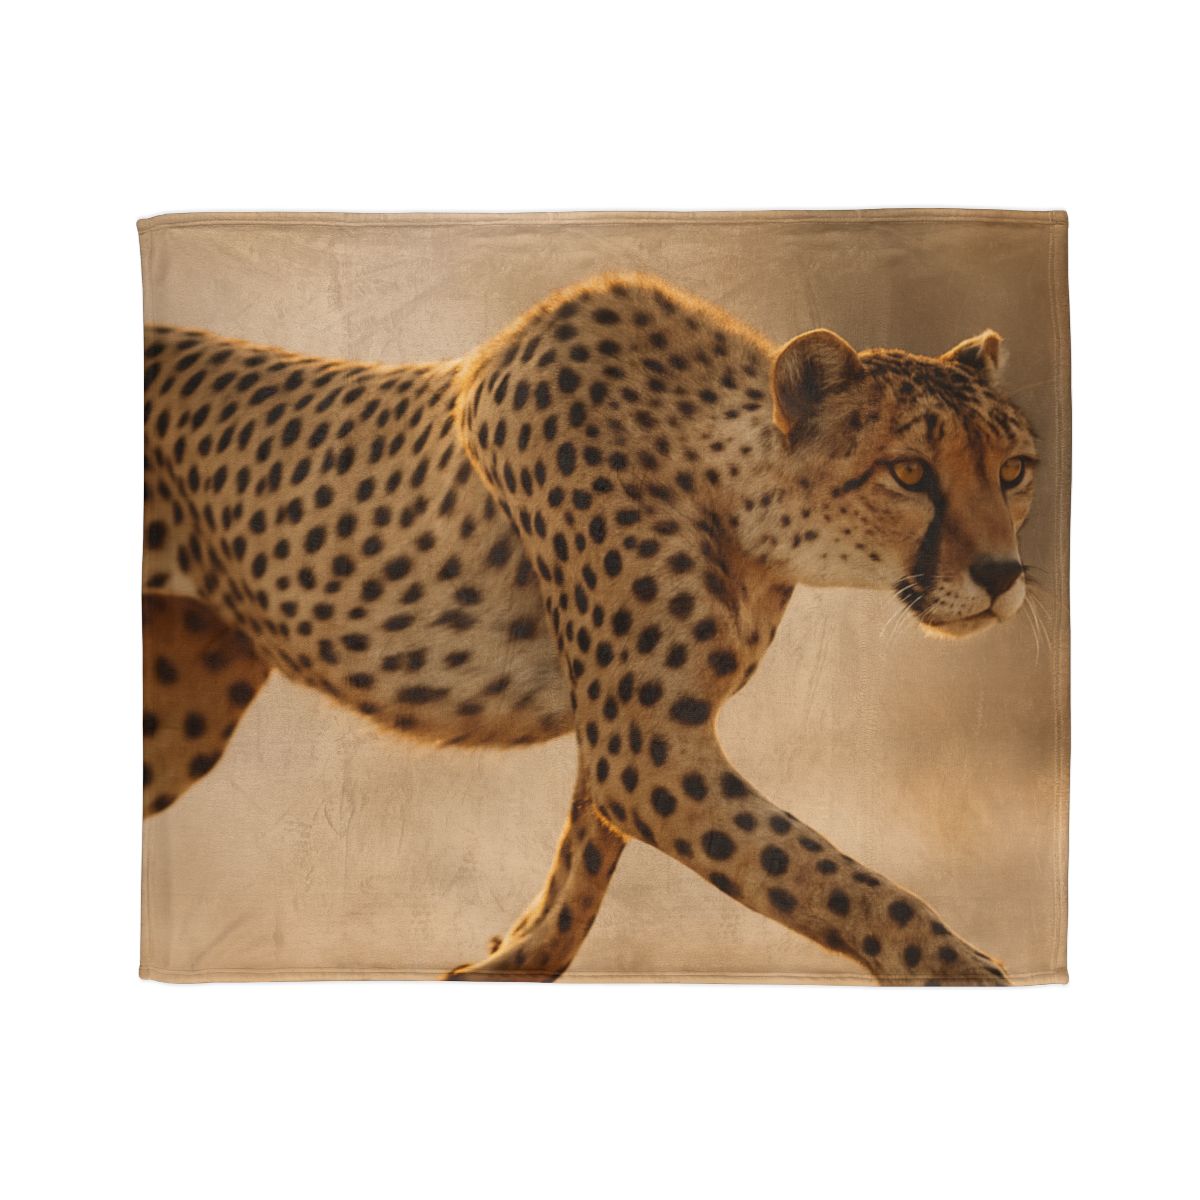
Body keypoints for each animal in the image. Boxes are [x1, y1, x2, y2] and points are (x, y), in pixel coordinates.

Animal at [142, 272, 1038, 985]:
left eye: (1014, 470)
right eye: (909, 472)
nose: (1003, 575)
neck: (733, 489)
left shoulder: (629, 733)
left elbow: (580, 866)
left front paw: (508, 960)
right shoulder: (644, 750)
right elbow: (826, 876)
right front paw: (961, 971)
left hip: (183, 708)